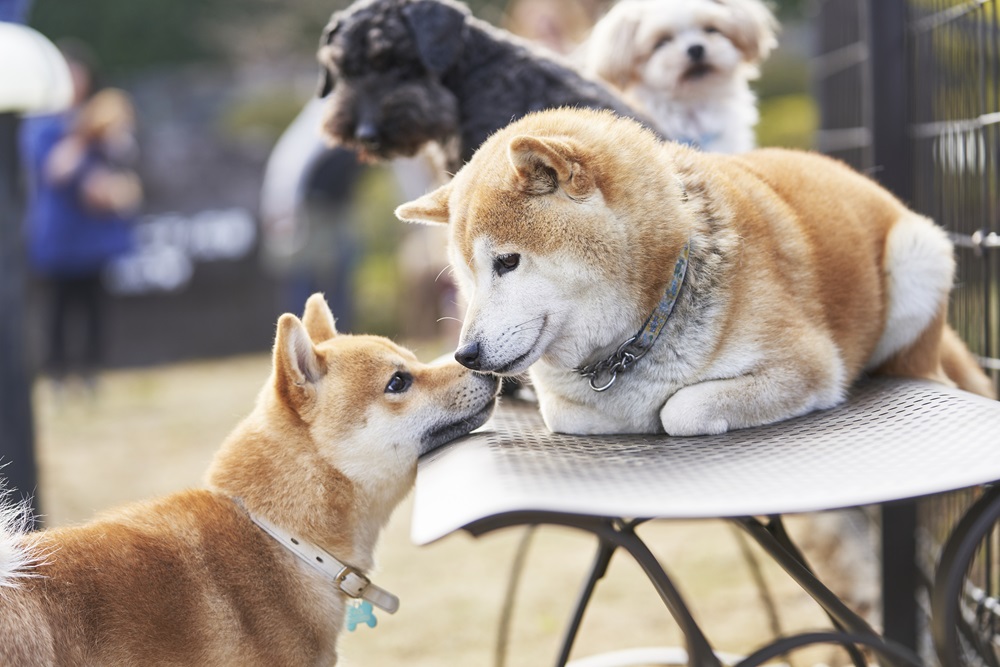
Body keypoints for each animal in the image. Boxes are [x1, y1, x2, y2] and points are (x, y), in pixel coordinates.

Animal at [396, 108, 992, 438]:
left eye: (507, 262)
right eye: (467, 278)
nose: (465, 355)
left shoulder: (809, 366)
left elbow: (681, 409)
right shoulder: (569, 408)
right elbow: (580, 414)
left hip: (918, 257)